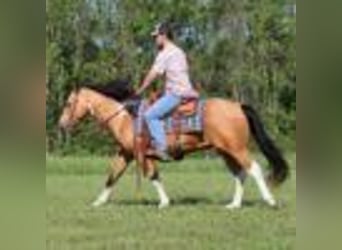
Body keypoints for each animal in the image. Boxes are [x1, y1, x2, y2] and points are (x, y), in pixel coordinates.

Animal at [58, 80, 288, 209]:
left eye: (69, 103)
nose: (61, 124)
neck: (125, 117)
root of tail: (238, 106)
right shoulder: (126, 153)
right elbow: (113, 175)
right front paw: (99, 202)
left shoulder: (142, 154)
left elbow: (152, 175)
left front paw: (164, 202)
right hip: (225, 151)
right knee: (240, 173)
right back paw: (234, 204)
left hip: (236, 148)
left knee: (254, 169)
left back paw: (270, 200)